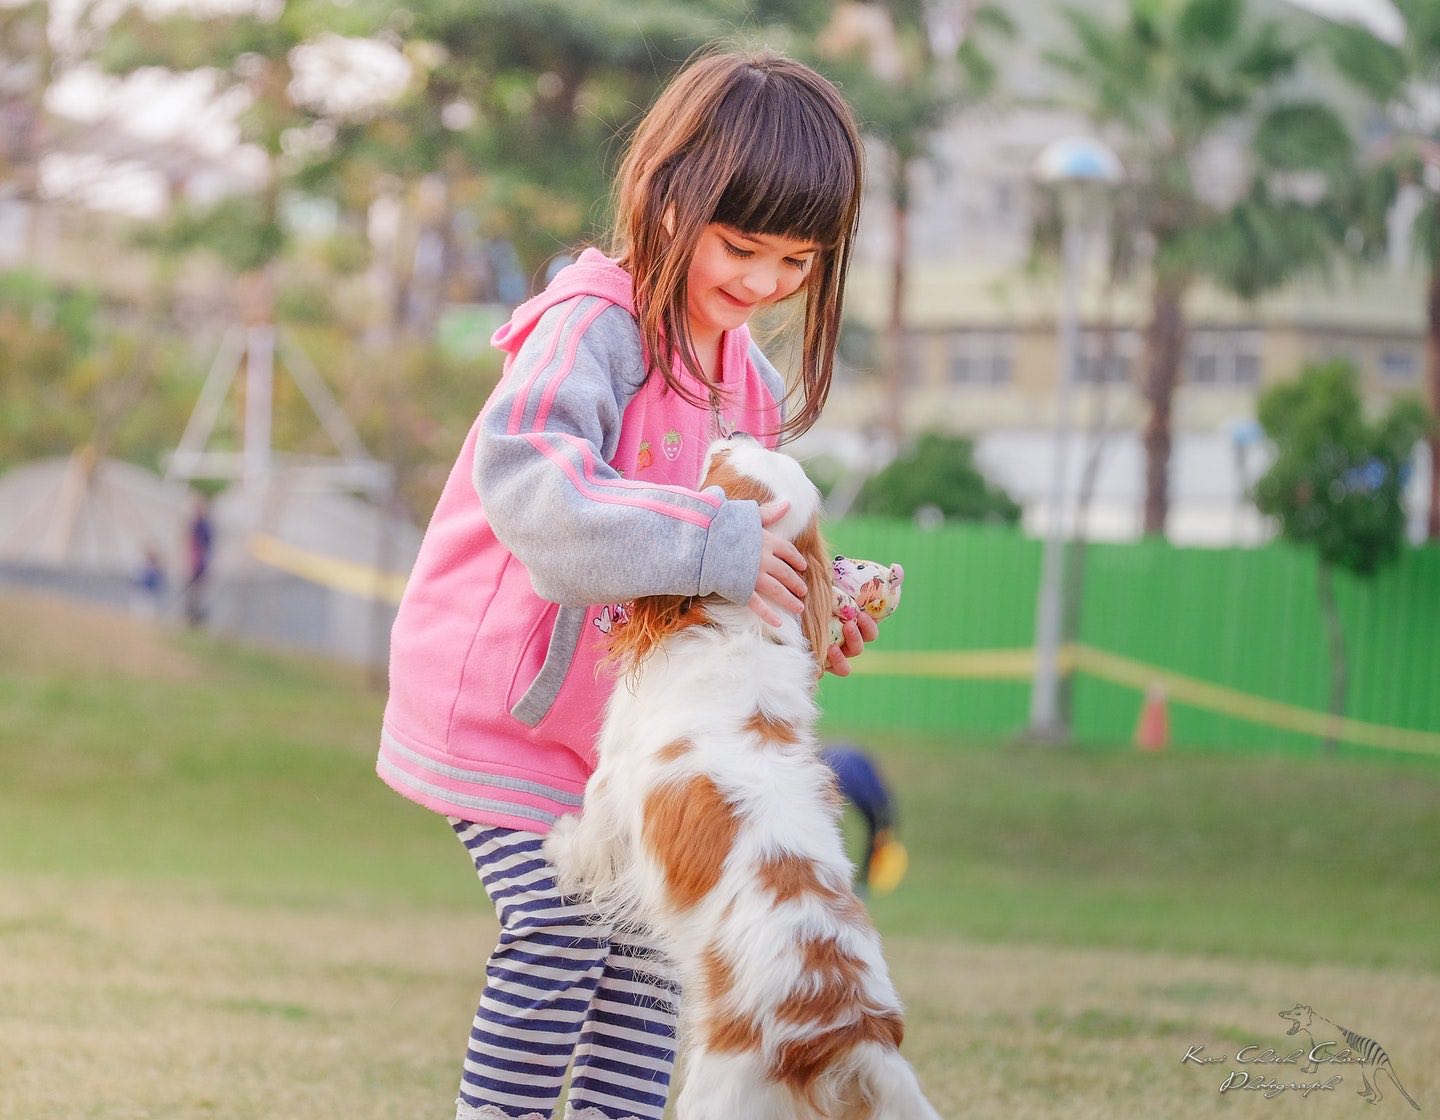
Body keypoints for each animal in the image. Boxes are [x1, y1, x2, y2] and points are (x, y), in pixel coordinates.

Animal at [544, 434, 938, 1117]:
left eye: (720, 466)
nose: (736, 433)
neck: (742, 626)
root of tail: (853, 1034)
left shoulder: (614, 777)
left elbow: (589, 832)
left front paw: (559, 846)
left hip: (718, 1088)